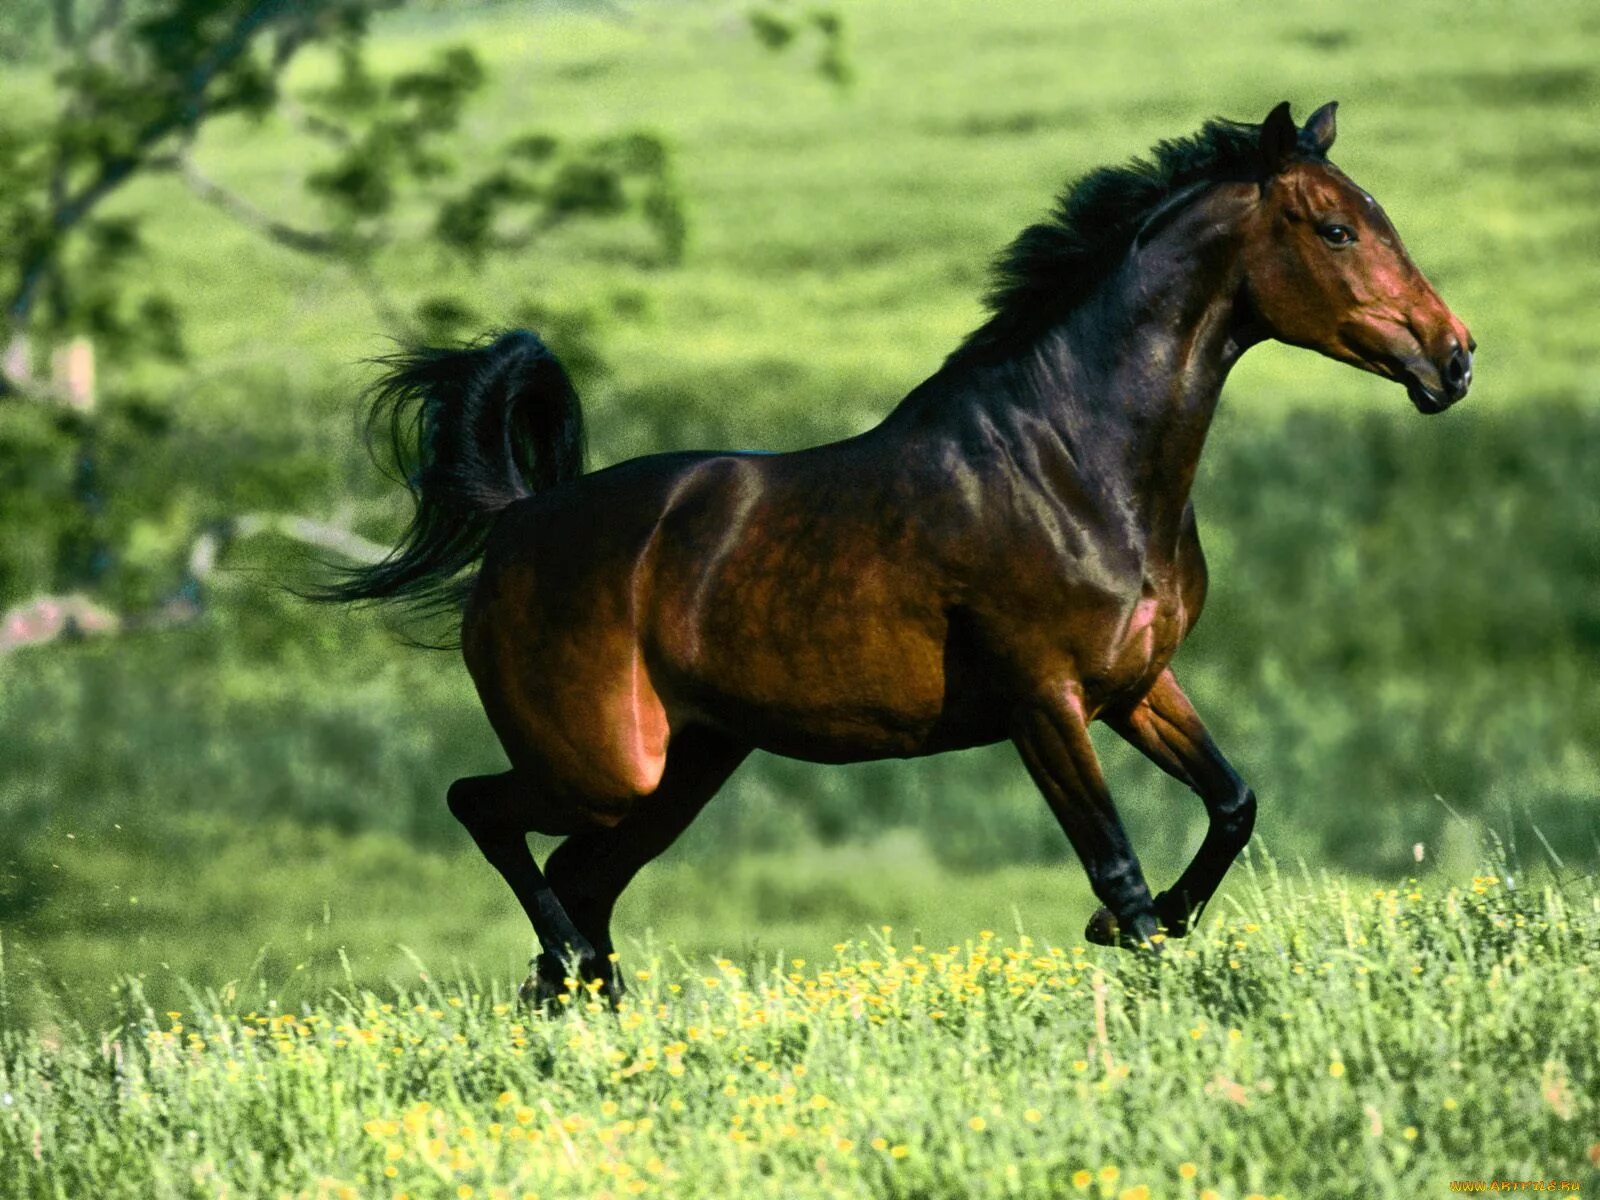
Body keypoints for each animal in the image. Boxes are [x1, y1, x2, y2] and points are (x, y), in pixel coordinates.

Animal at [315, 105, 1472, 1004]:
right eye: (1336, 228)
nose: (1452, 358)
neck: (1075, 461)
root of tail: (519, 522)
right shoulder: (1042, 701)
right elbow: (1118, 869)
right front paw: (1133, 952)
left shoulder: (1136, 684)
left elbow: (1232, 805)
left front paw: (1154, 930)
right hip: (602, 766)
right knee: (486, 814)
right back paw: (571, 971)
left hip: (683, 770)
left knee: (579, 878)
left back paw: (584, 990)